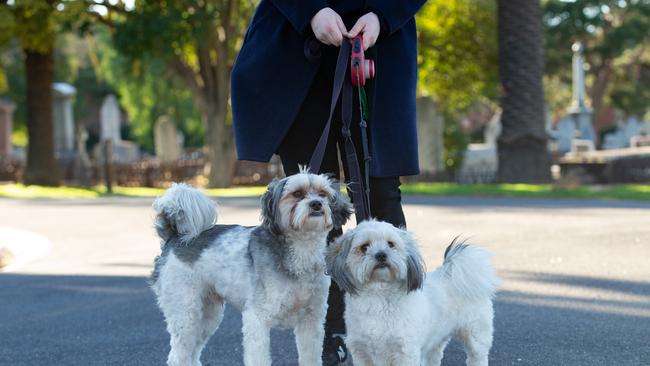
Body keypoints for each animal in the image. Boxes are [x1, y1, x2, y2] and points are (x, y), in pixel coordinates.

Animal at [149, 172, 352, 366]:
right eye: (297, 194)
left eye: (323, 193)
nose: (316, 204)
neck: (301, 251)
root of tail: (175, 237)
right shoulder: (257, 318)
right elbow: (259, 358)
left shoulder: (311, 320)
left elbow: (310, 357)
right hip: (186, 313)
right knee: (178, 357)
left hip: (208, 315)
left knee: (193, 352)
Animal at [326, 220, 498, 366]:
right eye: (364, 247)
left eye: (390, 244)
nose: (381, 254)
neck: (378, 296)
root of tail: (450, 273)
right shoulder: (361, 352)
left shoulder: (405, 352)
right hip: (437, 338)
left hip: (476, 336)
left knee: (477, 357)